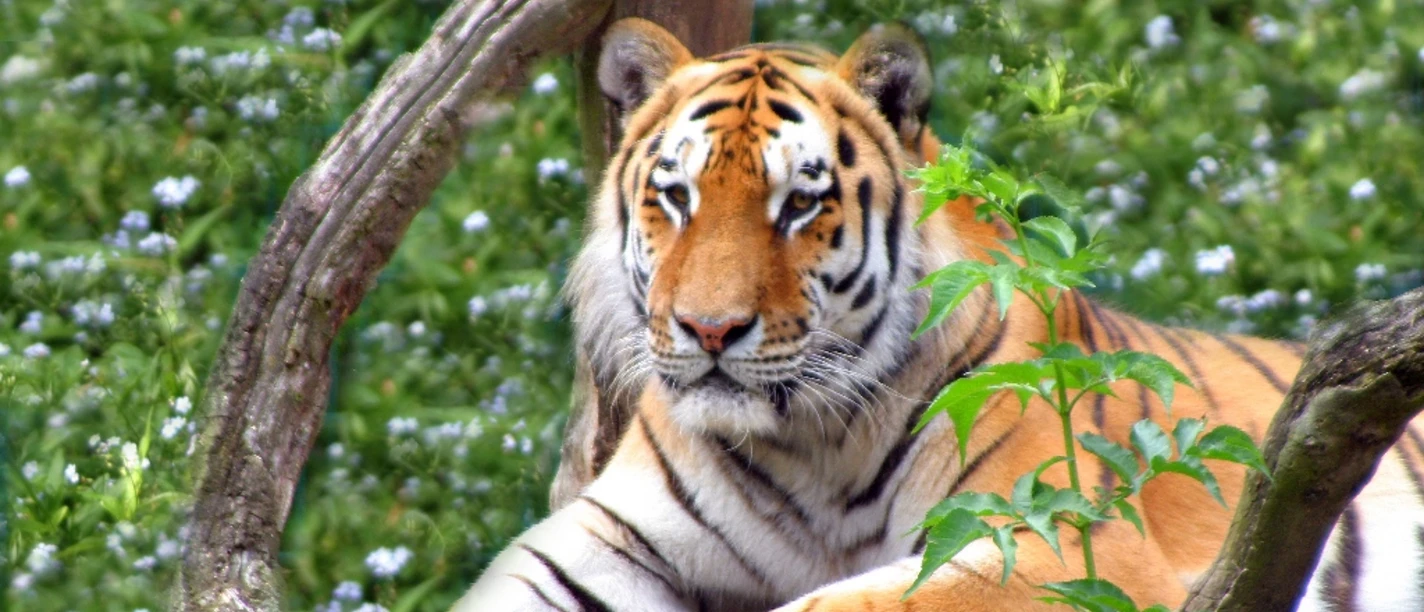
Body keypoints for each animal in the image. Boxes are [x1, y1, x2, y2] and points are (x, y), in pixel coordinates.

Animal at [454, 18, 1424, 612]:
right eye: (677, 196)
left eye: (798, 205)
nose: (710, 332)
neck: (808, 445)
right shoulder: (599, 542)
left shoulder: (1051, 538)